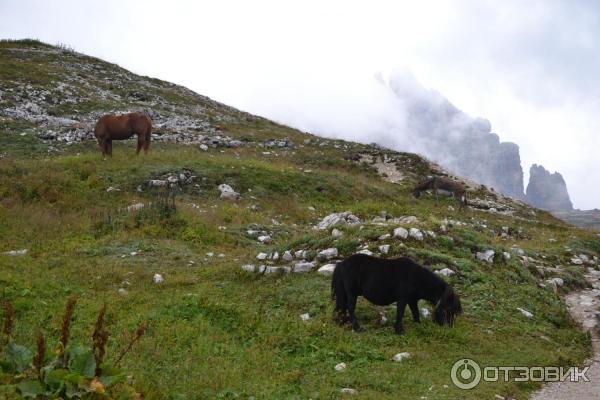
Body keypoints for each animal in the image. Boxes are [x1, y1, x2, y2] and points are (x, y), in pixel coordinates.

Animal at [330, 253, 462, 334]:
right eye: (449, 310)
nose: (449, 328)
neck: (417, 278)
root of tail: (341, 264)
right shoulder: (403, 298)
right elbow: (400, 313)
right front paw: (400, 331)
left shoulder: (412, 300)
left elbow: (415, 313)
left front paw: (418, 326)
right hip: (351, 293)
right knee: (350, 307)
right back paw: (357, 328)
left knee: (341, 307)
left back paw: (342, 322)